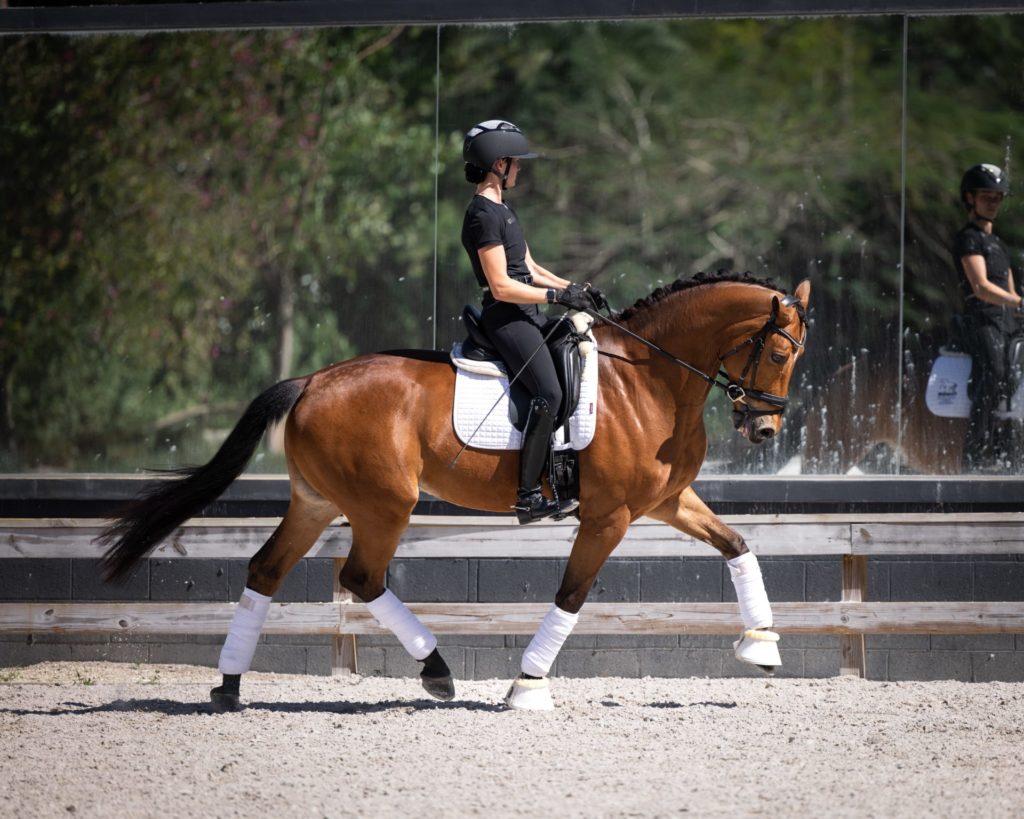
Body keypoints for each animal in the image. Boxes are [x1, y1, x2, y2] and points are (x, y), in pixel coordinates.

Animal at [101, 272, 806, 708]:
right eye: (778, 353)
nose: (765, 428)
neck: (649, 379)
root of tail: (311, 380)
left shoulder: (665, 501)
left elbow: (738, 544)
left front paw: (762, 645)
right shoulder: (609, 517)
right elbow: (571, 595)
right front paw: (527, 687)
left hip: (317, 502)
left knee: (266, 570)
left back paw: (228, 687)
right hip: (384, 505)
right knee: (360, 577)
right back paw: (436, 672)